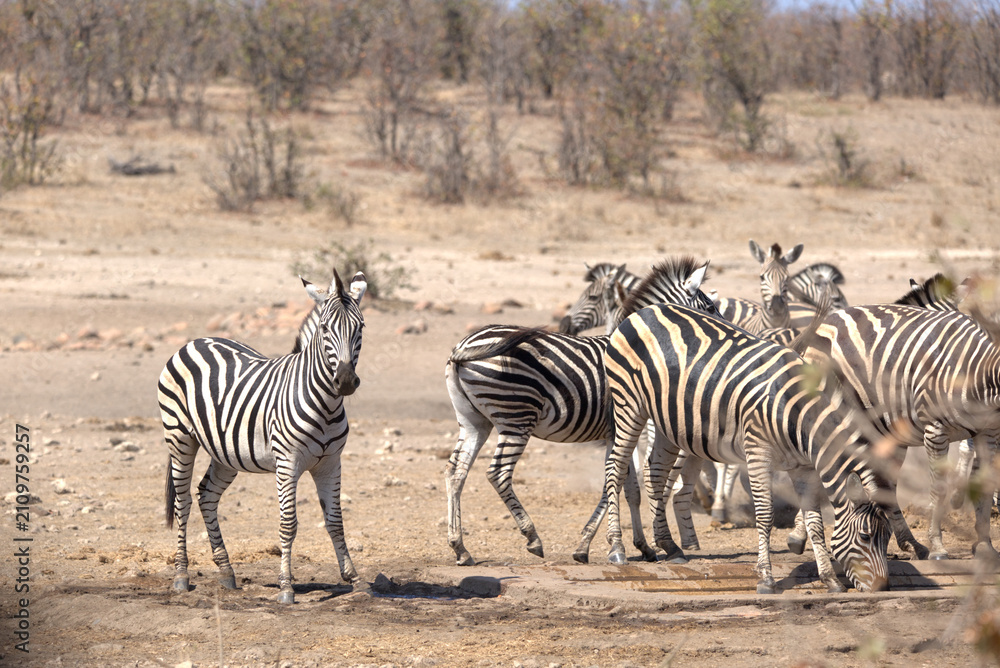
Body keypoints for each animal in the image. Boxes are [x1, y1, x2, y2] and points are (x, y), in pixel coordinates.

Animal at [158, 269, 367, 604]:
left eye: (360, 327)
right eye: (325, 328)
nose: (346, 381)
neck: (326, 403)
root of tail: (196, 341)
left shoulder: (330, 462)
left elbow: (335, 520)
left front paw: (354, 578)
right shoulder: (287, 462)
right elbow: (288, 523)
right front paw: (286, 587)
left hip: (225, 451)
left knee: (207, 495)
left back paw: (226, 571)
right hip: (179, 438)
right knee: (183, 502)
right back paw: (181, 575)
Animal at [444, 256, 719, 567]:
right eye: (711, 308)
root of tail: (463, 346)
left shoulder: (616, 431)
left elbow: (629, 488)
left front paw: (638, 546)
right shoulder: (624, 425)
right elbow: (617, 482)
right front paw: (609, 545)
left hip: (474, 422)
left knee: (456, 472)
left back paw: (460, 548)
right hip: (517, 417)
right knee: (498, 473)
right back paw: (532, 537)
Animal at [602, 302, 892, 593]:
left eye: (887, 536)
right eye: (865, 536)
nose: (882, 587)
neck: (801, 414)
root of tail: (646, 310)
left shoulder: (804, 467)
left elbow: (816, 522)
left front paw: (830, 579)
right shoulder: (758, 451)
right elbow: (765, 515)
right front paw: (766, 578)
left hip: (668, 423)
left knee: (655, 473)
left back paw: (669, 545)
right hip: (629, 404)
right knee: (615, 468)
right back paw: (617, 548)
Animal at [803, 304, 1000, 562]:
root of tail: (832, 316)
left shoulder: (988, 431)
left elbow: (985, 483)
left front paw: (985, 546)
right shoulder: (935, 430)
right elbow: (938, 488)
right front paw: (938, 547)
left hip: (887, 433)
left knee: (884, 486)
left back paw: (910, 543)